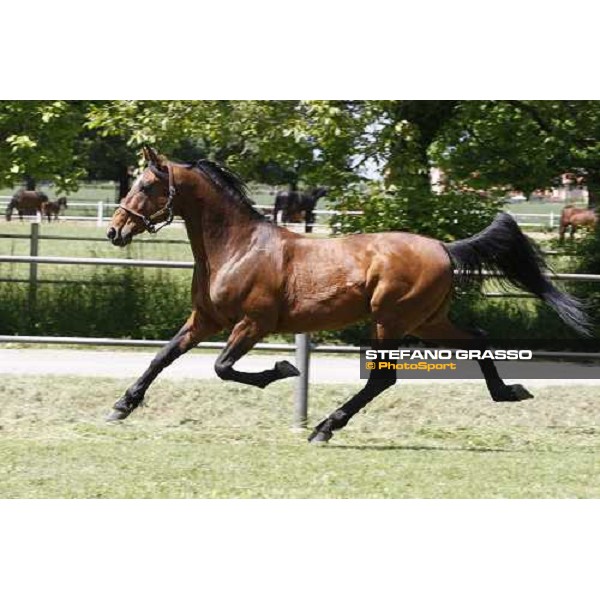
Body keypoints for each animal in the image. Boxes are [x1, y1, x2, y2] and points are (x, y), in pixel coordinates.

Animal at [104, 146, 592, 446]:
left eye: (146, 186)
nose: (114, 231)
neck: (238, 247)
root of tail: (443, 247)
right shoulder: (204, 319)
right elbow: (162, 356)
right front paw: (121, 407)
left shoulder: (253, 324)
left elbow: (223, 367)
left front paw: (282, 369)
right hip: (427, 321)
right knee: (477, 338)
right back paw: (510, 392)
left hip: (390, 321)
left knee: (382, 379)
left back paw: (323, 428)